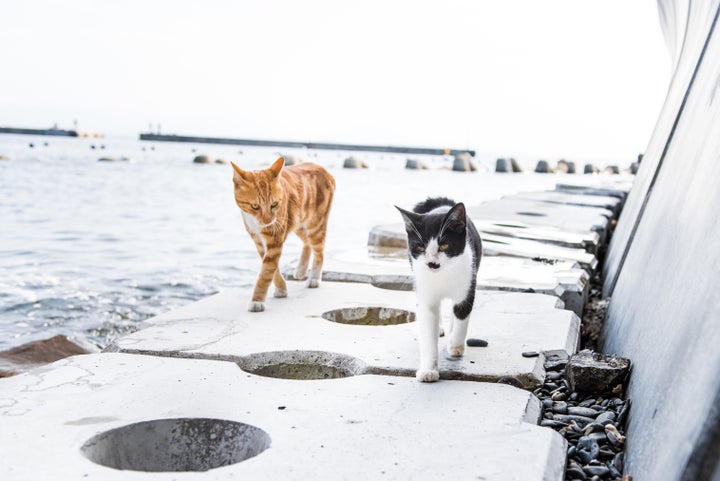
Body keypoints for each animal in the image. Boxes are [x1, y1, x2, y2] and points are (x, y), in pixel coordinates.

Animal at [231, 156, 334, 310]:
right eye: (255, 206)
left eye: (274, 204)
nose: (268, 221)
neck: (256, 223)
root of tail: (324, 170)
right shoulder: (259, 242)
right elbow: (273, 269)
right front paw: (281, 289)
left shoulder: (275, 240)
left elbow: (266, 272)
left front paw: (257, 301)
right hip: (297, 223)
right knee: (307, 242)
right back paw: (301, 270)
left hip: (315, 225)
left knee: (319, 251)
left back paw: (314, 278)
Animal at [394, 197, 484, 380]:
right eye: (420, 248)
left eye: (444, 246)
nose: (432, 264)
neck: (443, 274)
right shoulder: (425, 290)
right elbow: (428, 323)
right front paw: (428, 370)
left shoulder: (468, 284)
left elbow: (462, 314)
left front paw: (455, 346)